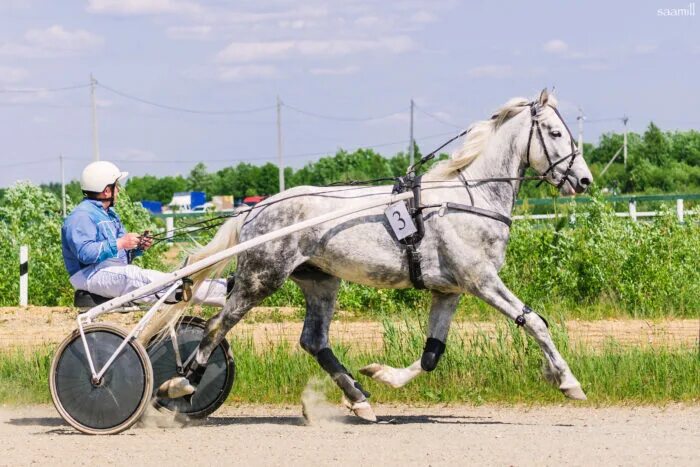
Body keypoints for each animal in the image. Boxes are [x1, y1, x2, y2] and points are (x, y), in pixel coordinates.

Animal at [153, 89, 592, 422]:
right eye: (555, 132)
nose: (585, 180)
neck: (469, 199)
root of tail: (255, 208)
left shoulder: (449, 291)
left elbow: (431, 354)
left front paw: (383, 375)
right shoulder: (481, 280)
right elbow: (534, 322)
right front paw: (568, 381)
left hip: (320, 281)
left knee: (314, 341)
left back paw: (359, 398)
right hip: (260, 278)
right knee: (216, 326)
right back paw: (179, 384)